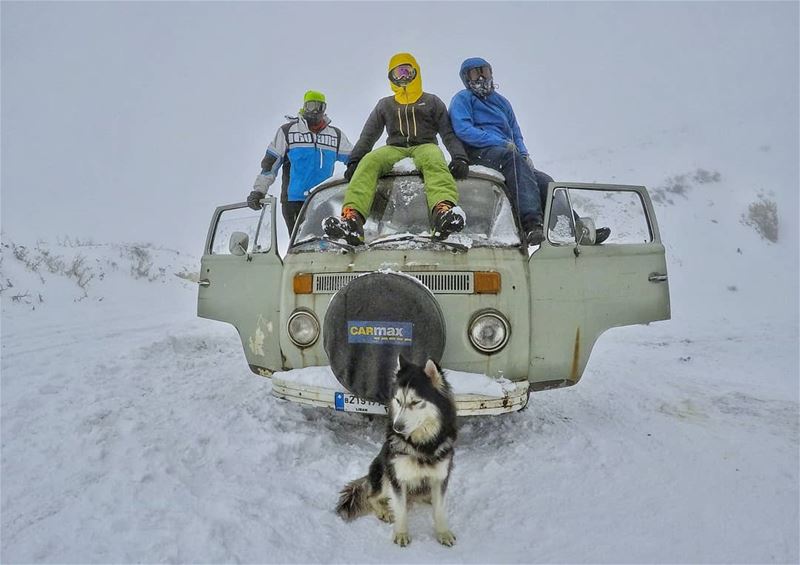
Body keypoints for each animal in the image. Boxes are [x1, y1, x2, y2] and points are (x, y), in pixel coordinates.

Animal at [334, 354, 456, 544]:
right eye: (398, 401)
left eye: (415, 402)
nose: (397, 427)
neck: (421, 445)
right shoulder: (397, 477)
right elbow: (400, 509)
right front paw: (401, 534)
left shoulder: (441, 477)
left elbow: (439, 509)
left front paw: (443, 532)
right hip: (384, 473)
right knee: (371, 496)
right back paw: (383, 510)